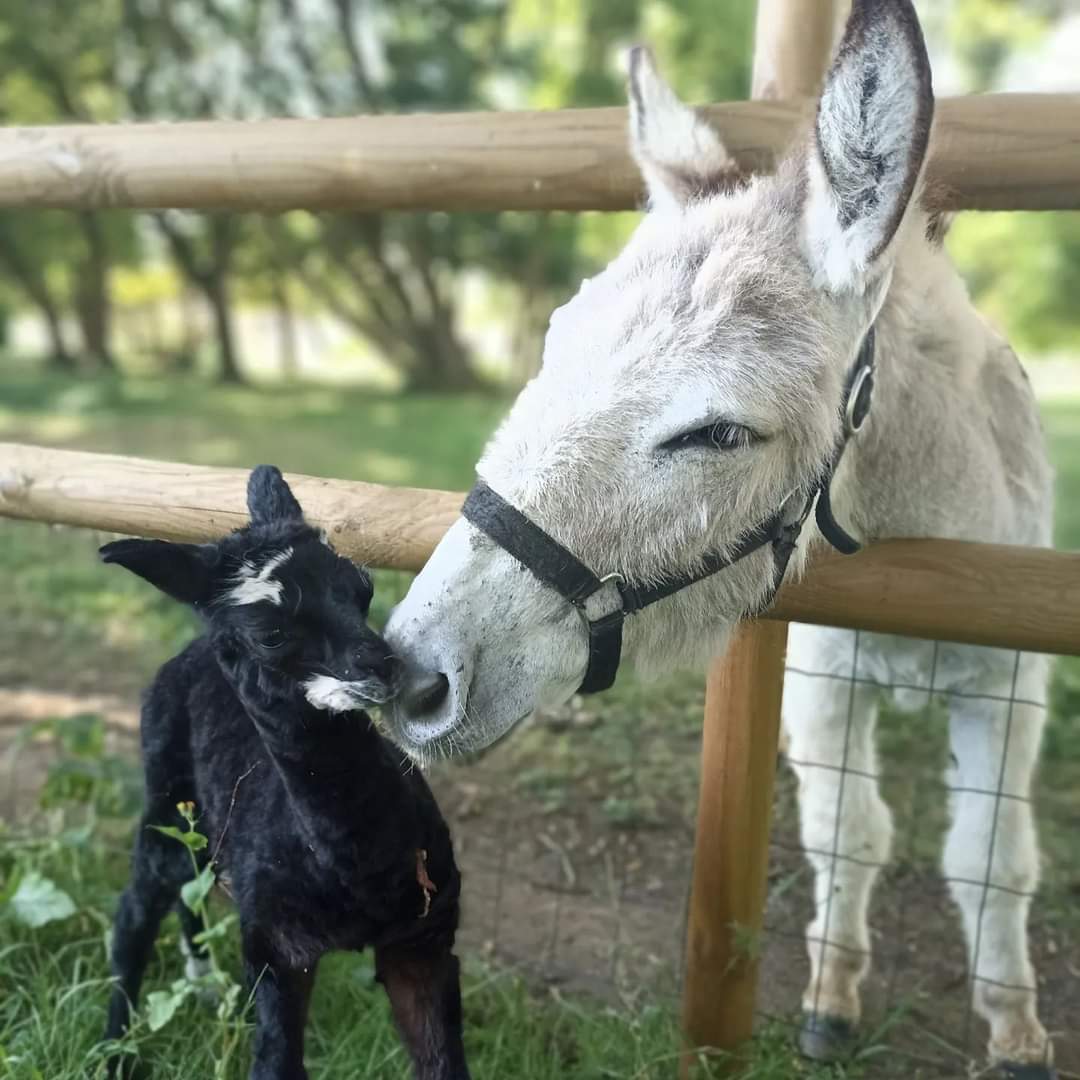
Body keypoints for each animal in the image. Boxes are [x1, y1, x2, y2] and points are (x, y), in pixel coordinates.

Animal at [100, 466, 468, 1080]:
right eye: (271, 633)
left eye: (362, 587)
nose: (383, 667)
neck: (356, 881)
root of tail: (192, 647)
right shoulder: (276, 952)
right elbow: (275, 1062)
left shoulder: (423, 941)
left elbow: (444, 1064)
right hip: (164, 789)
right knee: (138, 906)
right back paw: (113, 1050)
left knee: (190, 885)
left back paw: (203, 983)